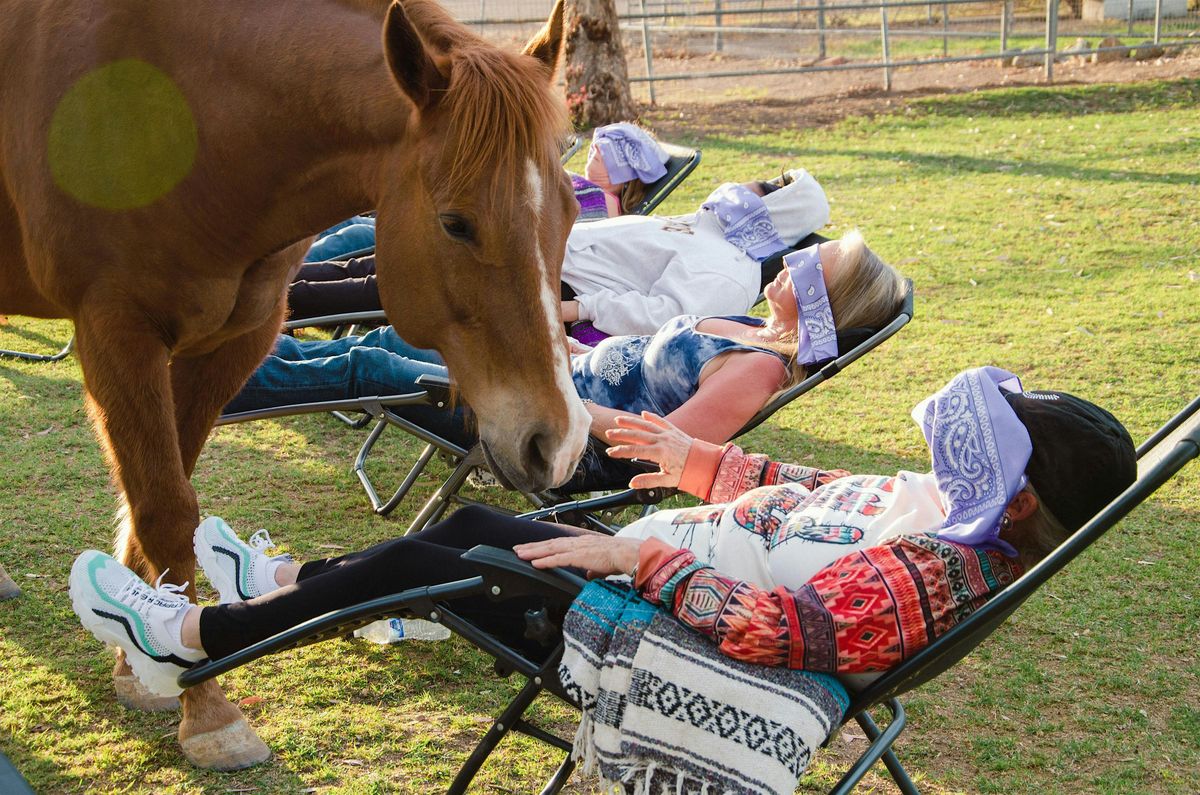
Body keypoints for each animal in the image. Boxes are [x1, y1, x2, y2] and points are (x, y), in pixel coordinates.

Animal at [0, 0, 589, 770]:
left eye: (571, 212)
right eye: (456, 223)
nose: (562, 440)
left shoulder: (238, 336)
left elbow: (168, 489)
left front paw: (142, 665)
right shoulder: (115, 330)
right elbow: (162, 506)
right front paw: (205, 709)